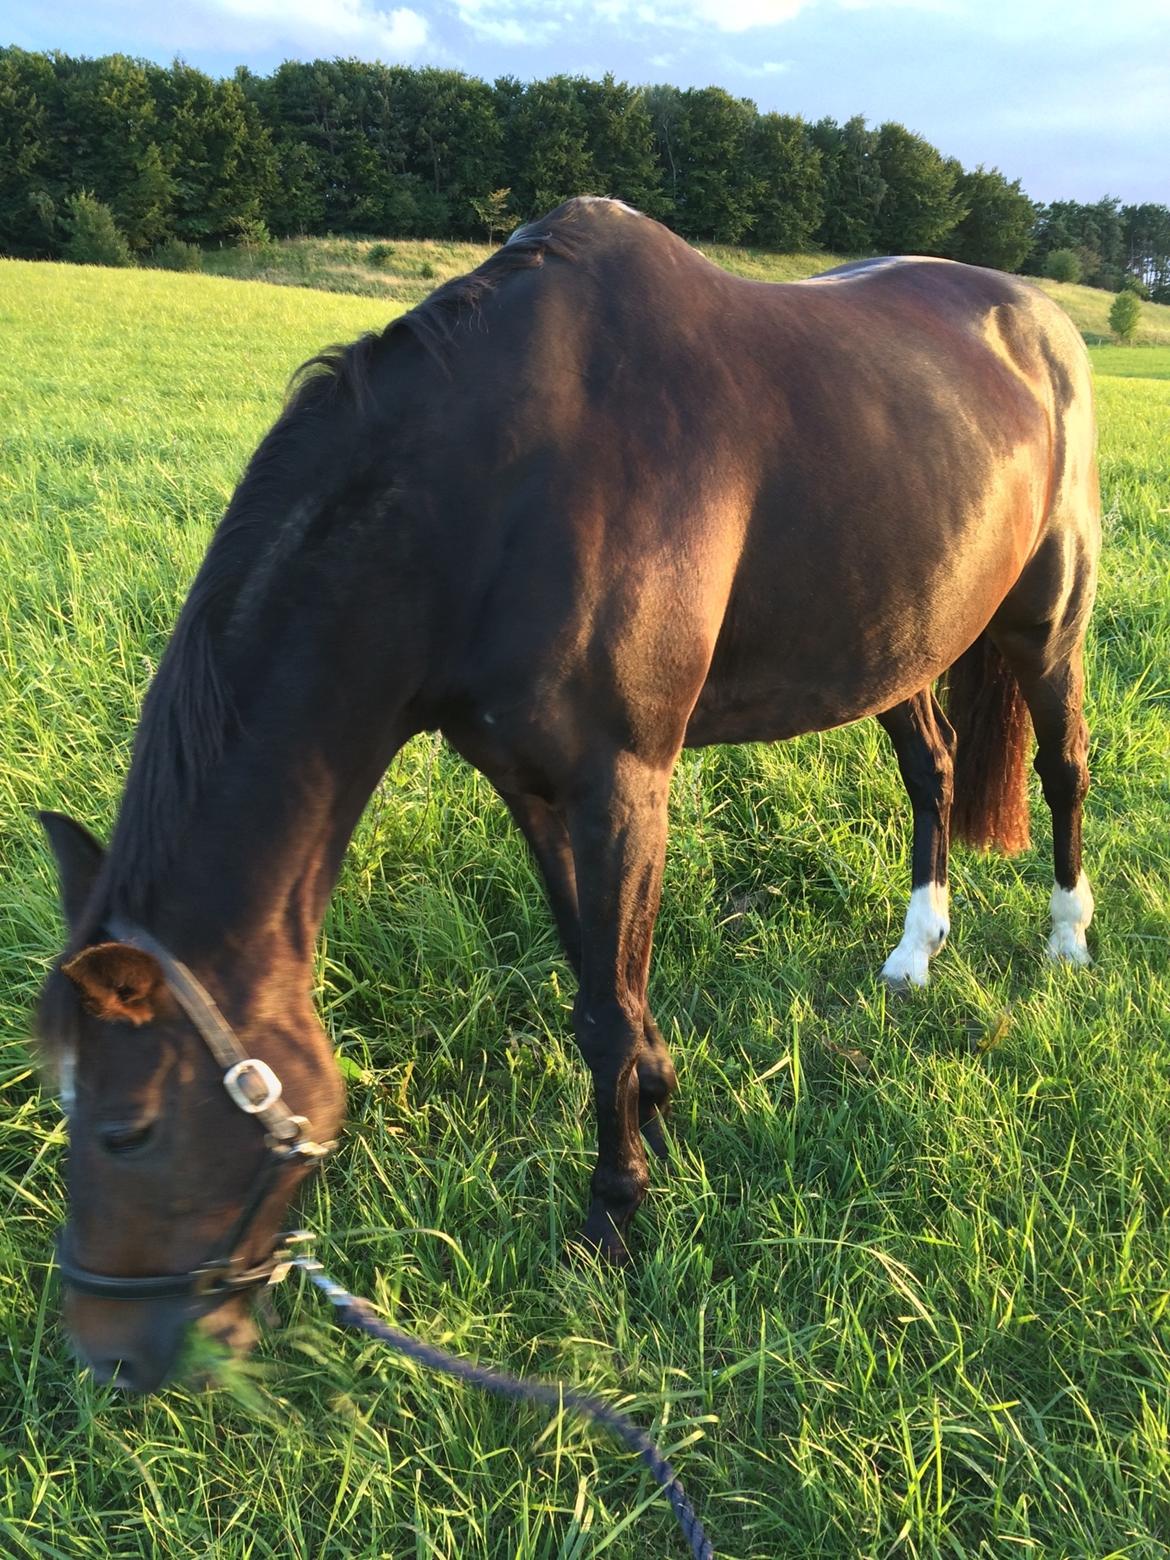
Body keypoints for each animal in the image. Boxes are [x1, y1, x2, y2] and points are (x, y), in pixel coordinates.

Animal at [34, 191, 1098, 1391]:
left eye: (127, 1129)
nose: (105, 1358)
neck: (494, 492)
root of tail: (1038, 320)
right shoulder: (534, 789)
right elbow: (600, 976)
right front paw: (659, 1099)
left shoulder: (622, 784)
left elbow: (602, 1007)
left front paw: (614, 1215)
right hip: (904, 637)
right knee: (934, 769)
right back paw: (917, 951)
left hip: (1048, 620)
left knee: (1063, 767)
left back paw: (1067, 937)